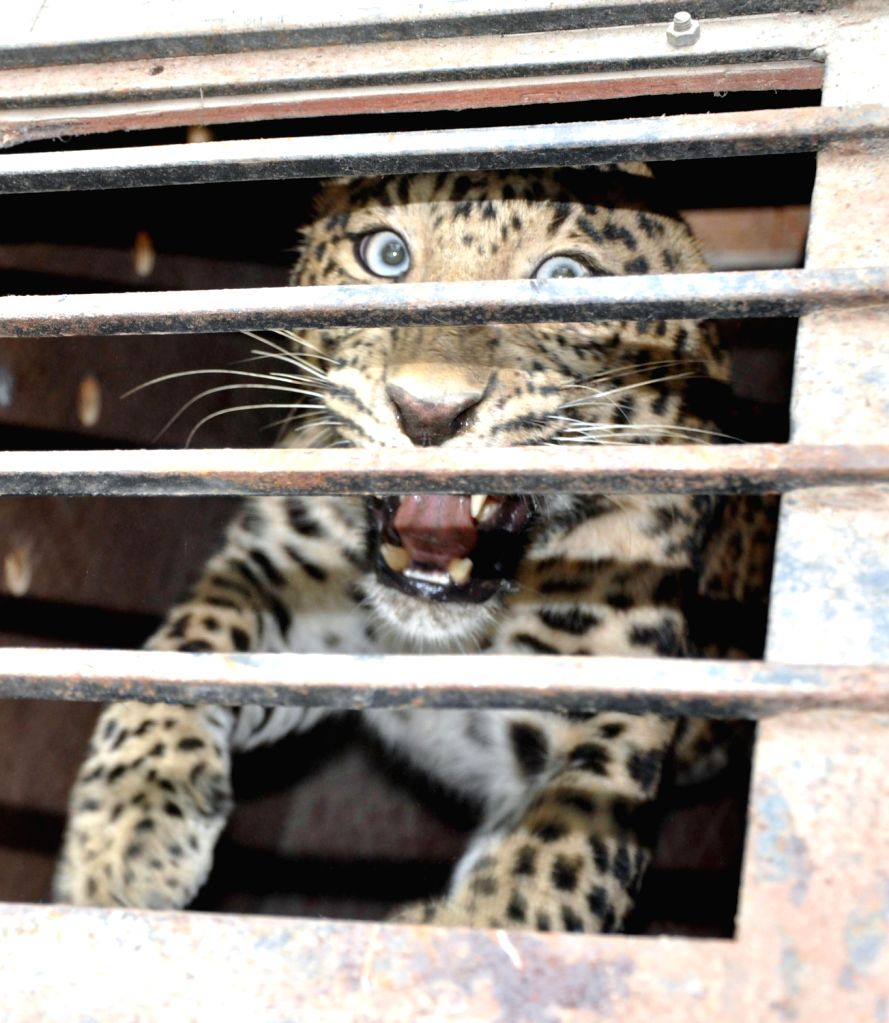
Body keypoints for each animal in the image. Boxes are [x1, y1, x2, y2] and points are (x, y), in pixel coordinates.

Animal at [54, 165, 774, 933]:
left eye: (565, 277)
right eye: (387, 256)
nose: (428, 412)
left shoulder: (610, 715)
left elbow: (544, 871)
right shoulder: (287, 575)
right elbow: (193, 640)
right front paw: (125, 828)